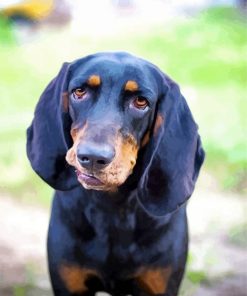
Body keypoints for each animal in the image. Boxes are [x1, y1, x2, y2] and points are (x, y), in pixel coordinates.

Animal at [26, 52, 205, 294]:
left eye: (141, 102)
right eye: (79, 92)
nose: (92, 157)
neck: (112, 208)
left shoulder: (160, 286)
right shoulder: (69, 284)